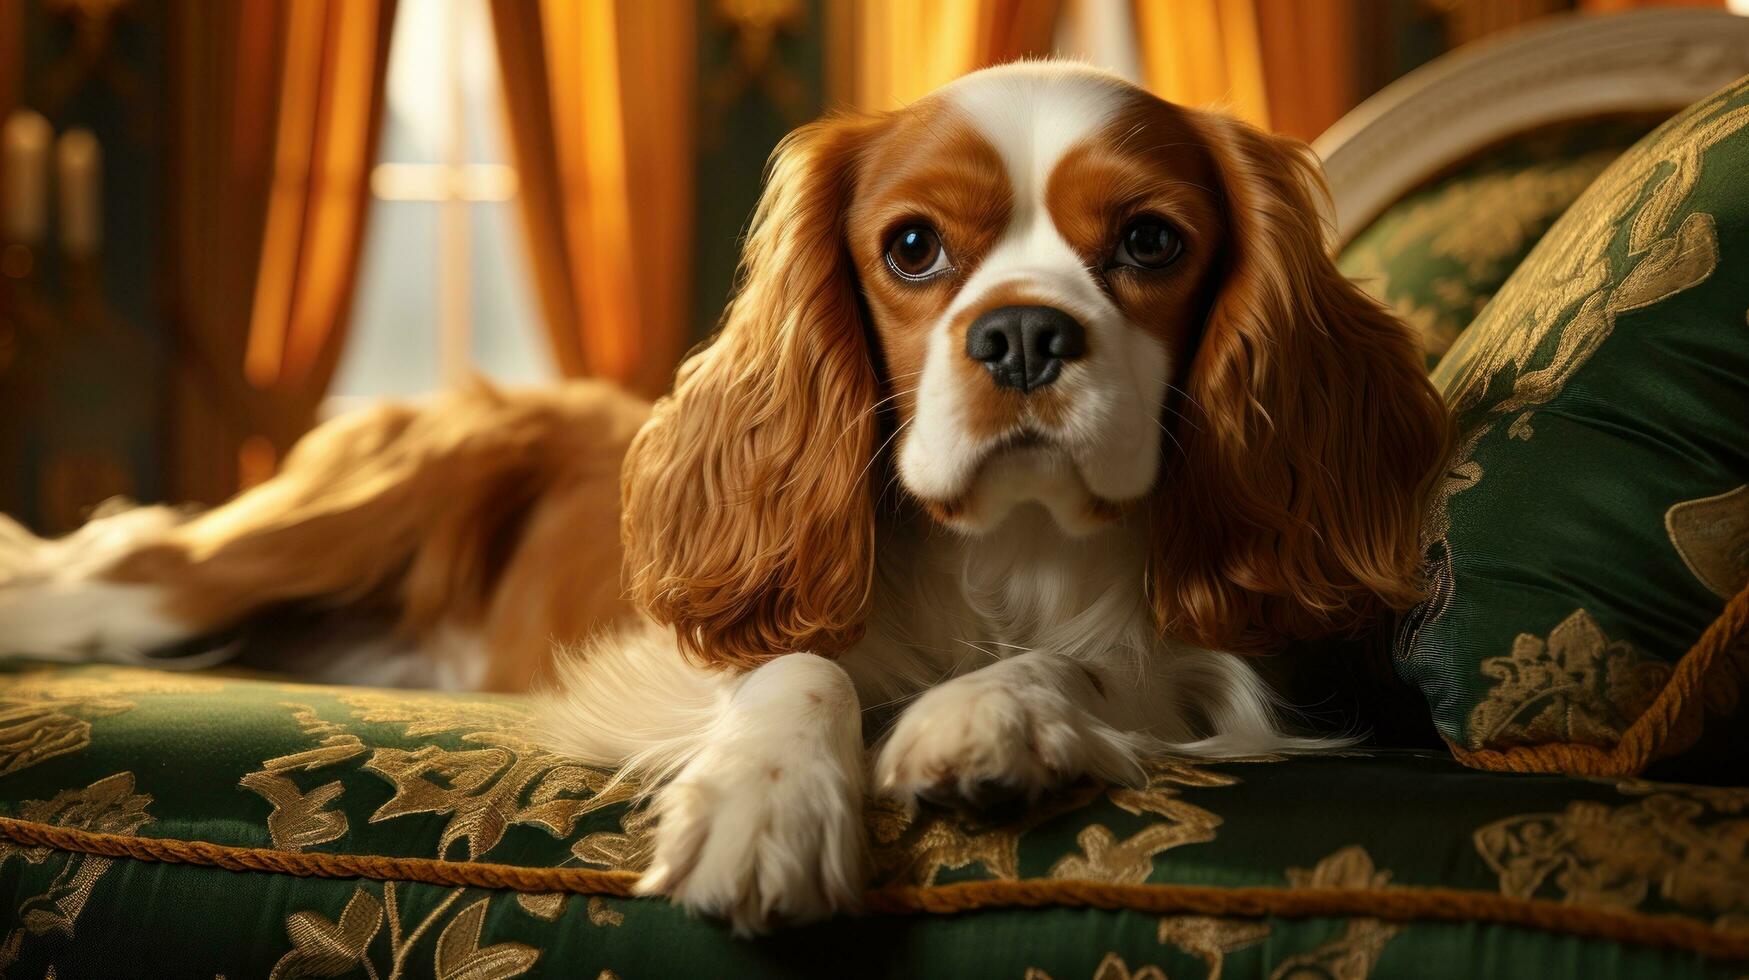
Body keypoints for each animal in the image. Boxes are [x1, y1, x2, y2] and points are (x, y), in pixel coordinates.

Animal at [0, 63, 1448, 931]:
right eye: (912, 247)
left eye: (1150, 240)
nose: (1026, 337)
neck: (1008, 550)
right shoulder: (670, 647)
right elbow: (791, 663)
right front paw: (767, 802)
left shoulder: (1222, 672)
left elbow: (1095, 665)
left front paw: (990, 718)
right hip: (282, 550)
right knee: (122, 574)